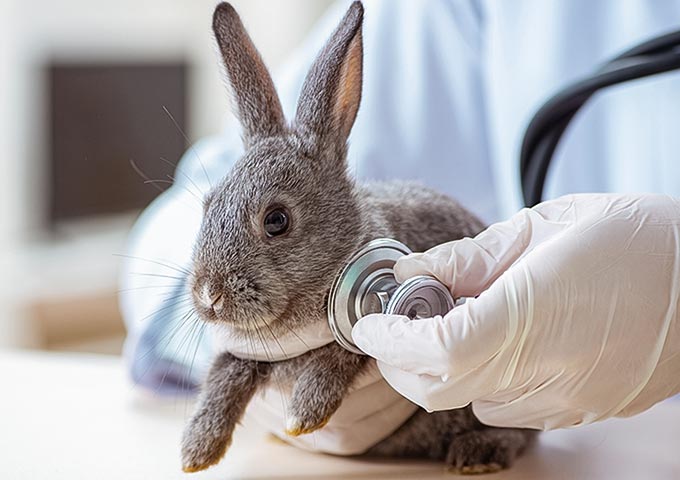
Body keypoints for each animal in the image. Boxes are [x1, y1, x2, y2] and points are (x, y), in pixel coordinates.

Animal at [181, 1, 536, 474]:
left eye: (276, 220)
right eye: (207, 204)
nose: (209, 295)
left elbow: (346, 352)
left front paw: (304, 413)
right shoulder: (247, 353)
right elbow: (225, 372)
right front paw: (197, 450)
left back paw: (477, 452)